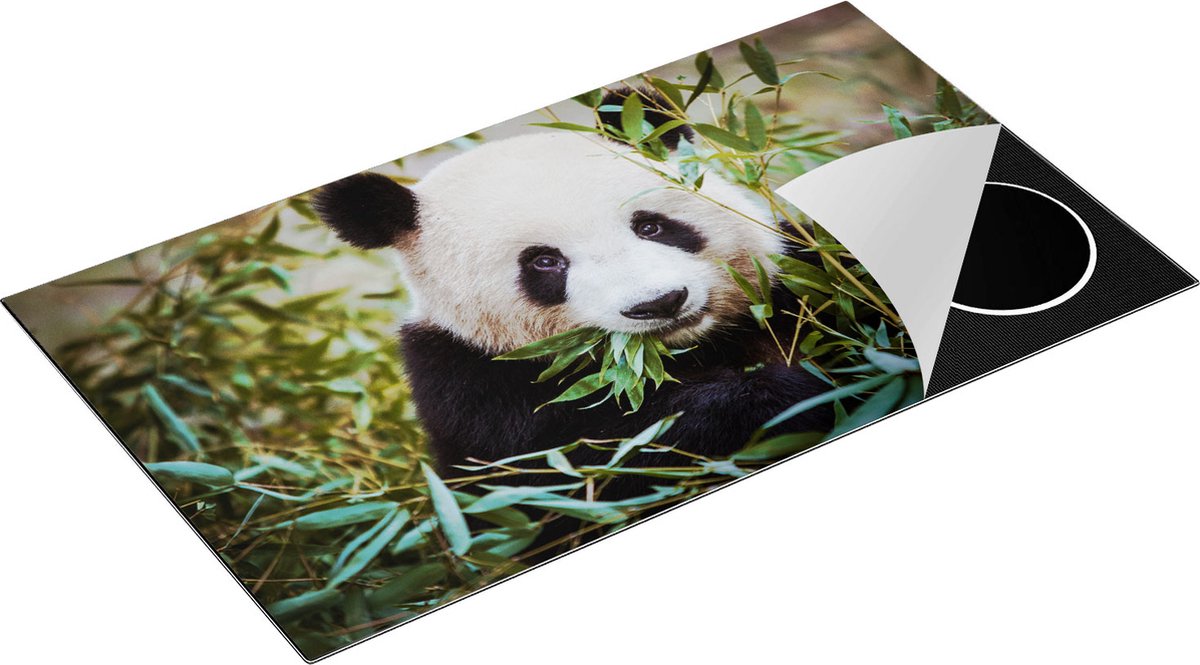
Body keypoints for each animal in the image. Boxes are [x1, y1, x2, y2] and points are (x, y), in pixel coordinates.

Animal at [313, 92, 833, 489]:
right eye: (544, 262)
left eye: (650, 226)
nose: (660, 302)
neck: (690, 350)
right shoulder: (468, 383)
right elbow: (588, 460)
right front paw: (776, 393)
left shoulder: (794, 274)